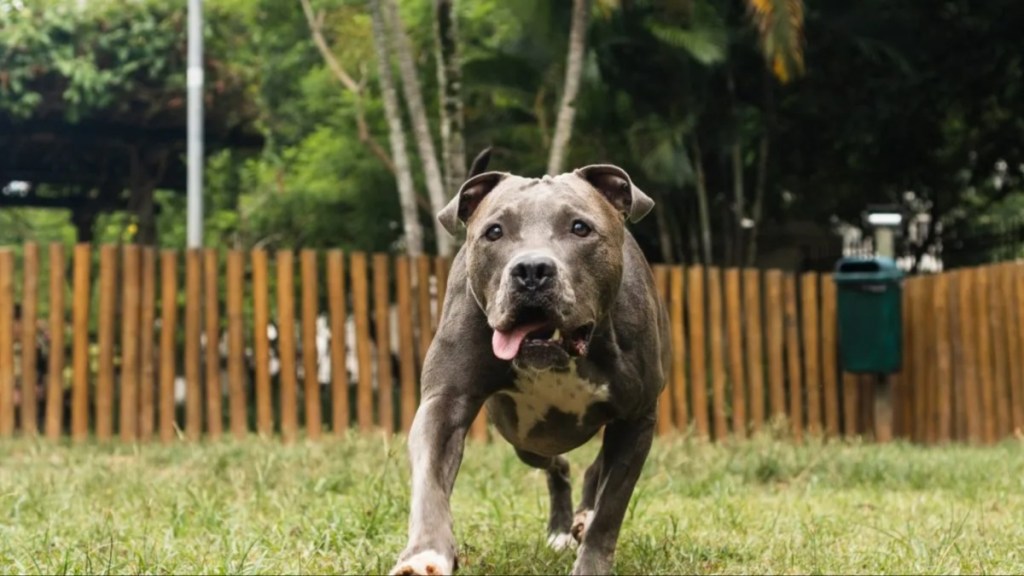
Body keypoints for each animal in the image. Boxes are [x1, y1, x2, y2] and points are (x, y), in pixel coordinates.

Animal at [387, 150, 667, 569]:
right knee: (559, 464)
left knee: (594, 471)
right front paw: (424, 555)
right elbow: (430, 483)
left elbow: (610, 510)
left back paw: (580, 520)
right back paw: (562, 527)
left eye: (580, 227)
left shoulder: (637, 419)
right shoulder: (445, 402)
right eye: (494, 232)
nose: (531, 269)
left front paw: (591, 562)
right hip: (525, 438)